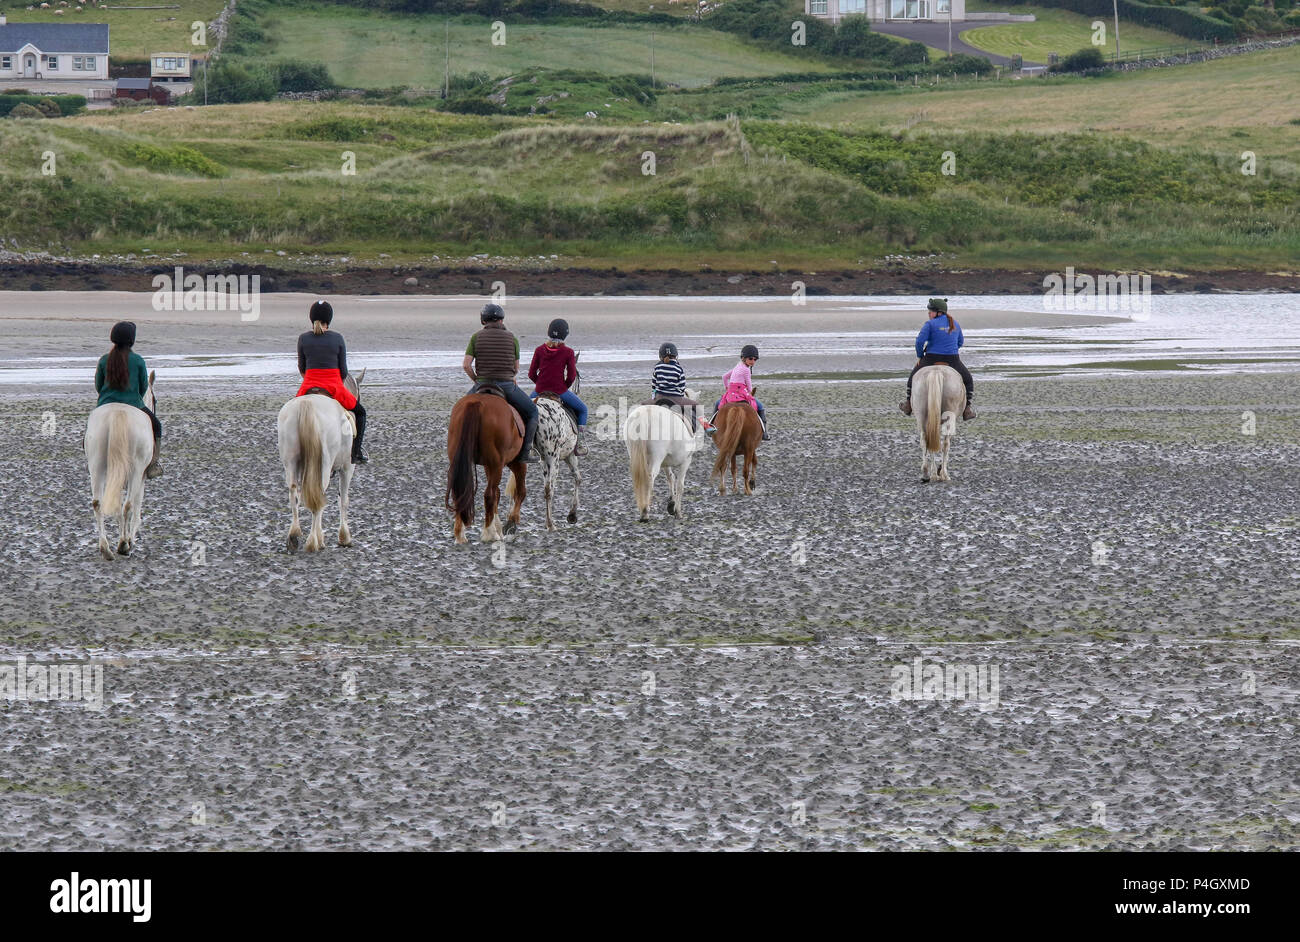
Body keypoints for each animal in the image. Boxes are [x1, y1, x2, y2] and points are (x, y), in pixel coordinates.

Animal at [84, 366, 156, 558]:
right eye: (154, 399)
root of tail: (117, 411)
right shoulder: (142, 476)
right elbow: (136, 507)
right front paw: (129, 539)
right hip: (136, 469)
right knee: (128, 505)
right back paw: (123, 544)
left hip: (97, 465)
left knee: (98, 503)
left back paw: (105, 548)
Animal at [276, 369, 364, 550]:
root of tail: (307, 403)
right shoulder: (347, 467)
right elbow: (343, 500)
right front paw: (344, 537)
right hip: (324, 464)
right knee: (319, 495)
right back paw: (314, 541)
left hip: (291, 461)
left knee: (294, 492)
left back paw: (293, 536)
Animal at [447, 387, 527, 543]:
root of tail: (476, 403)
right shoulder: (516, 462)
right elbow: (519, 492)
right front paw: (510, 523)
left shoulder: (488, 466)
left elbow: (499, 493)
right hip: (497, 464)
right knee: (489, 494)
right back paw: (489, 533)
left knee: (460, 493)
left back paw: (460, 535)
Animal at [506, 394, 585, 530]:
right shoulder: (569, 456)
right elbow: (577, 479)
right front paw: (572, 514)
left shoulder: (543, 462)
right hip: (553, 460)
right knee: (549, 489)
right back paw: (550, 523)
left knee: (515, 486)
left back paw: (510, 521)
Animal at [624, 387, 707, 522]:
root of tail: (645, 415)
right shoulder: (686, 461)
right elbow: (680, 485)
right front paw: (678, 511)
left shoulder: (665, 463)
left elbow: (670, 478)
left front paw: (671, 504)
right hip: (656, 458)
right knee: (650, 477)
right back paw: (645, 511)